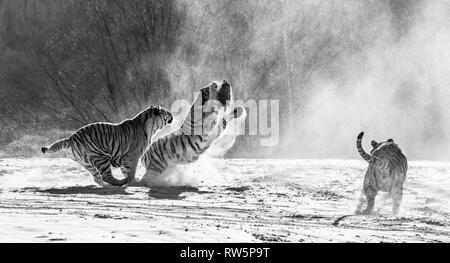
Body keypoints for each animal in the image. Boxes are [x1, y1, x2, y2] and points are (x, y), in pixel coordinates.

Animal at [40, 105, 174, 188]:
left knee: (97, 178)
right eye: (165, 112)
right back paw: (120, 182)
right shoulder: (132, 156)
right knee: (106, 176)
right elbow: (130, 172)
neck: (151, 127)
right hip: (101, 157)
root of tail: (71, 138)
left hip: (87, 163)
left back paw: (108, 186)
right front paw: (133, 182)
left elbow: (126, 171)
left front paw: (133, 181)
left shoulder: (126, 158)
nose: (171, 114)